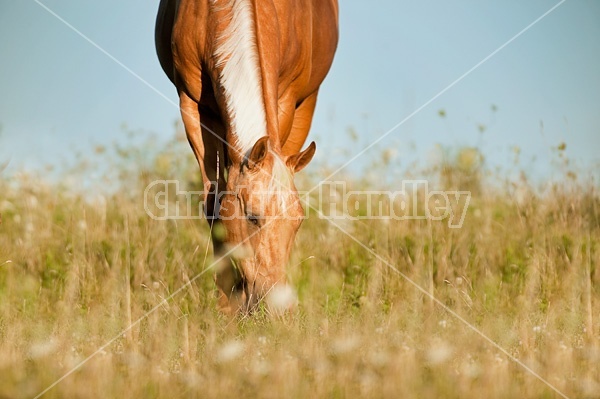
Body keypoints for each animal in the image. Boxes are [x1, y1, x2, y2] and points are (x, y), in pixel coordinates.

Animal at [155, 0, 338, 314]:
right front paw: (225, 303)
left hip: (306, 102)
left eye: (299, 221)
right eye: (252, 218)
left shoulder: (285, 99)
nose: (279, 308)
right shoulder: (191, 105)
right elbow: (213, 203)